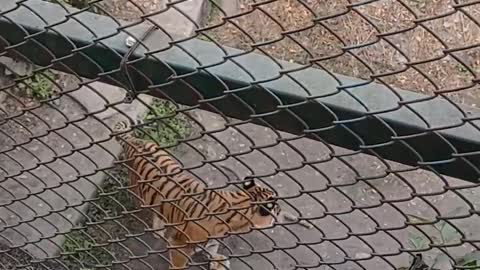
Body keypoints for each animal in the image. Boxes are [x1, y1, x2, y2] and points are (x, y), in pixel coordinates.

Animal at [110, 120, 280, 270]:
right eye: (276, 210)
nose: (279, 216)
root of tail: (134, 140)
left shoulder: (212, 239)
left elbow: (212, 248)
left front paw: (218, 262)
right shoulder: (180, 244)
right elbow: (180, 262)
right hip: (140, 192)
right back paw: (158, 229)